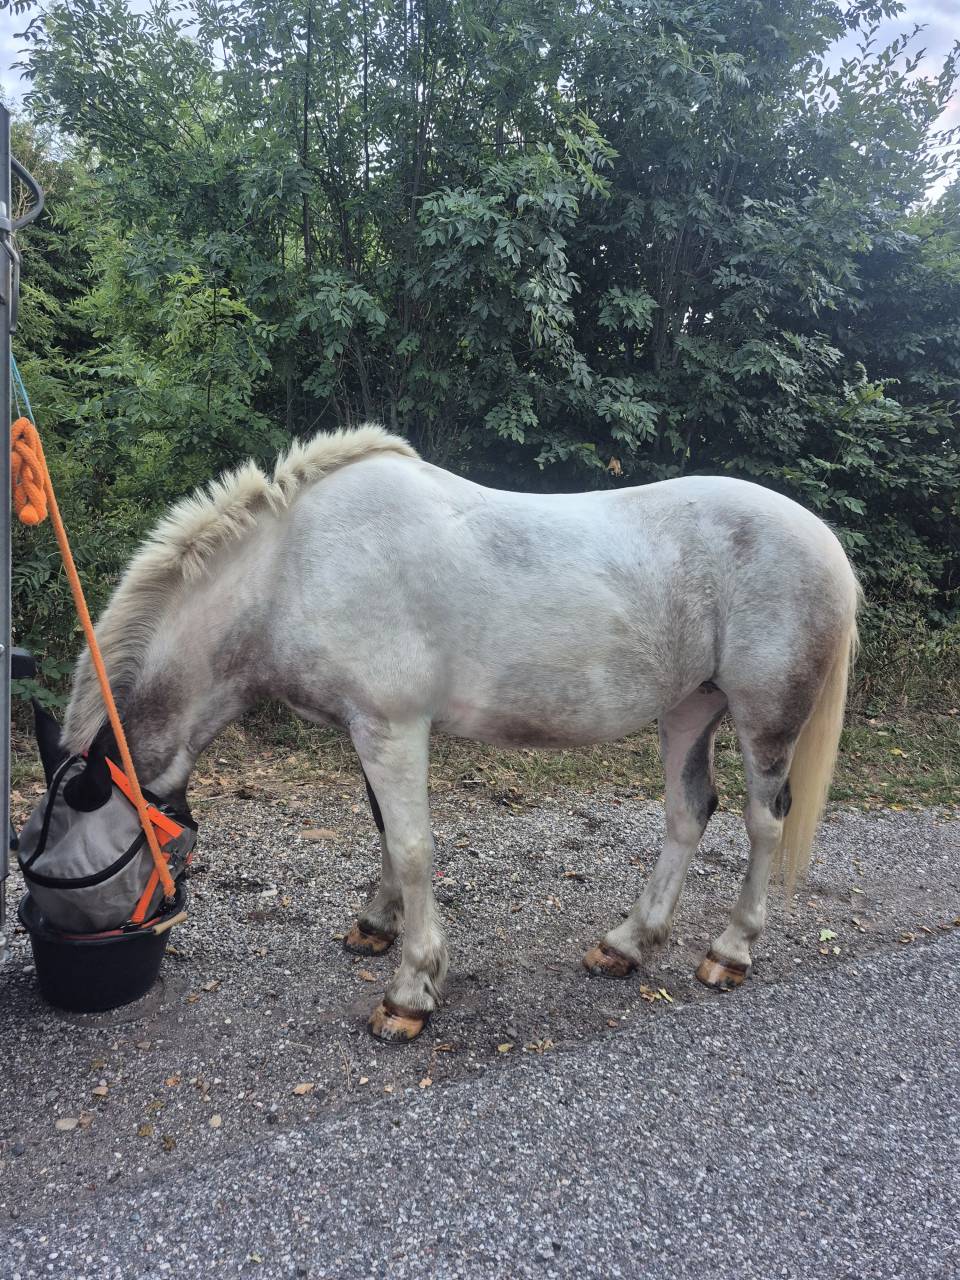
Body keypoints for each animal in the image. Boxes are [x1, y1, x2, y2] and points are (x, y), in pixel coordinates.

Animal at [60, 426, 859, 1041]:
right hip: (690, 708)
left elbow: (414, 848)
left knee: (763, 822)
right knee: (689, 813)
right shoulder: (367, 729)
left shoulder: (391, 728)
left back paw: (731, 951)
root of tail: (823, 539)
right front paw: (376, 927)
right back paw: (626, 944)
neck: (291, 568)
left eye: (69, 873)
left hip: (763, 717)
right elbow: (386, 832)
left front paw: (410, 992)